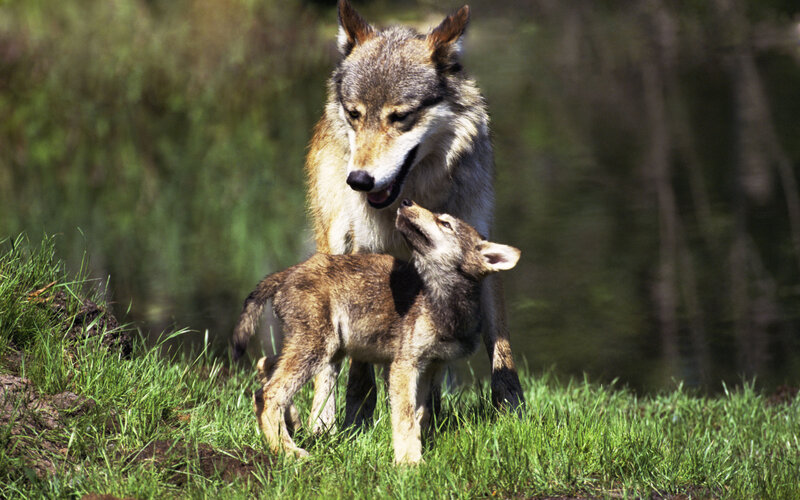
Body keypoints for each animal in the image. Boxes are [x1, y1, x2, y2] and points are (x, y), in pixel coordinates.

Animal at [234, 200, 520, 464]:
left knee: (264, 368)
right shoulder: (404, 366)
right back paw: (287, 451)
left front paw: (413, 455)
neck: (442, 302)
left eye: (445, 223)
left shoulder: (431, 367)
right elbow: (405, 418)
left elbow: (419, 415)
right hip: (318, 349)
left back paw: (292, 425)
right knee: (269, 395)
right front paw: (409, 464)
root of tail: (288, 272)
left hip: (326, 349)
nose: (406, 201)